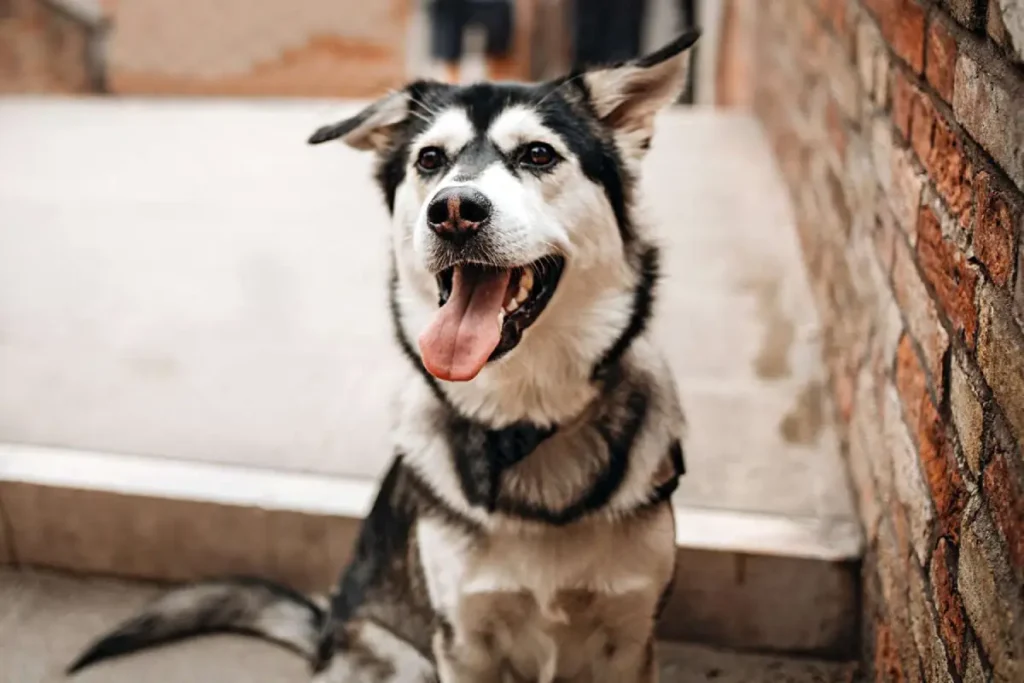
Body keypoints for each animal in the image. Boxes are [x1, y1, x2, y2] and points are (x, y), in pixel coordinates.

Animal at [68, 29, 700, 679]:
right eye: (430, 160)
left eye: (538, 155)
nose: (454, 211)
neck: (524, 422)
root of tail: (328, 629)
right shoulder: (464, 643)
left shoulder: (629, 639)